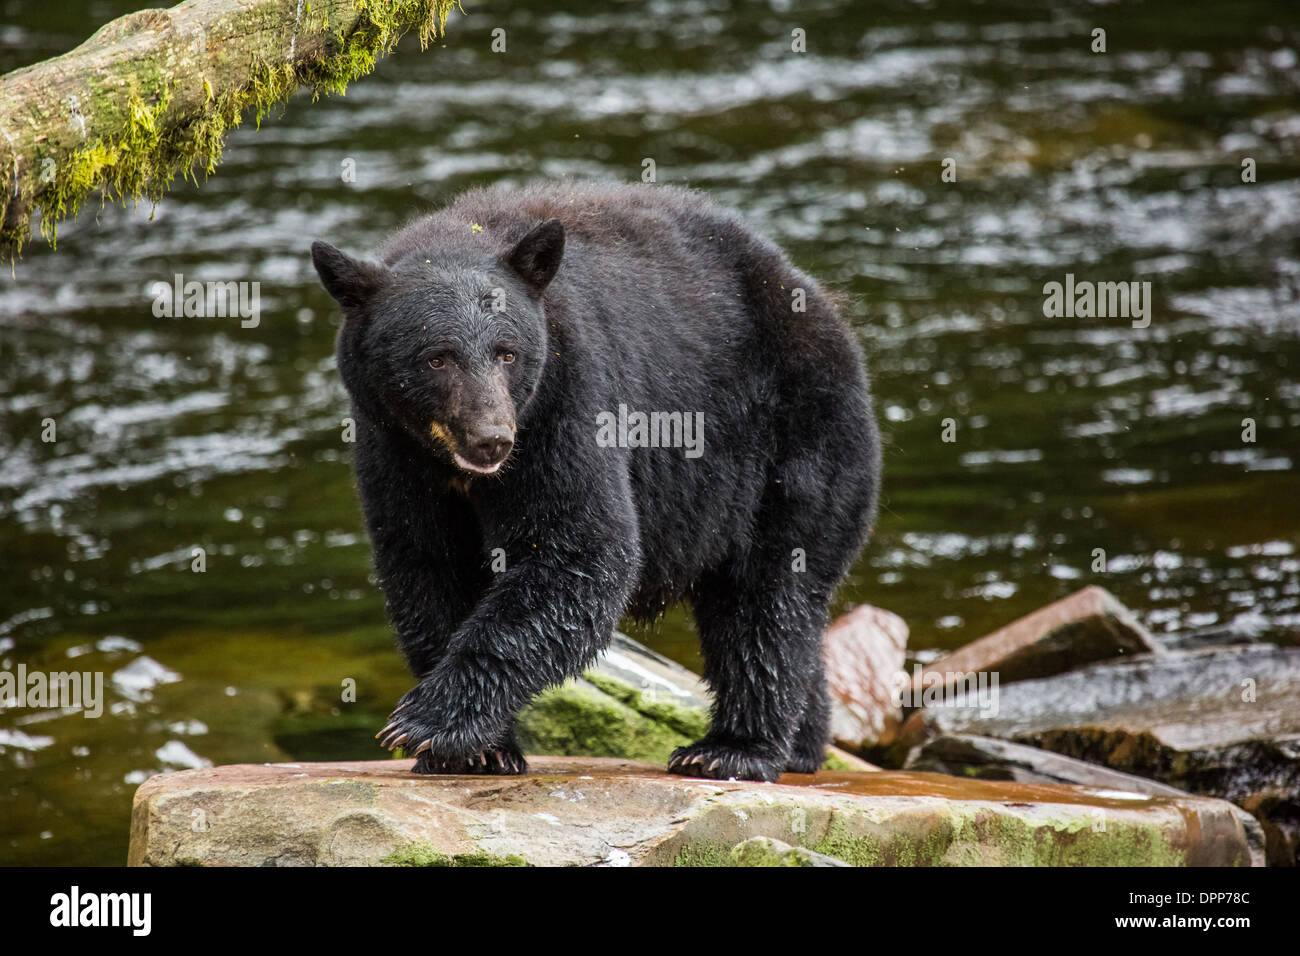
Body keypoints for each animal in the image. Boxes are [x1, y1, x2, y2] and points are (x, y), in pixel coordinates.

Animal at [313, 183, 878, 780]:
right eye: (436, 358)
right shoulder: (393, 450)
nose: (492, 440)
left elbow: (580, 546)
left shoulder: (567, 398)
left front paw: (430, 722)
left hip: (796, 440)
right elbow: (426, 564)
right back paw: (804, 745)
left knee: (767, 596)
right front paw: (480, 749)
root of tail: (821, 303)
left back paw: (732, 748)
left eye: (507, 352)